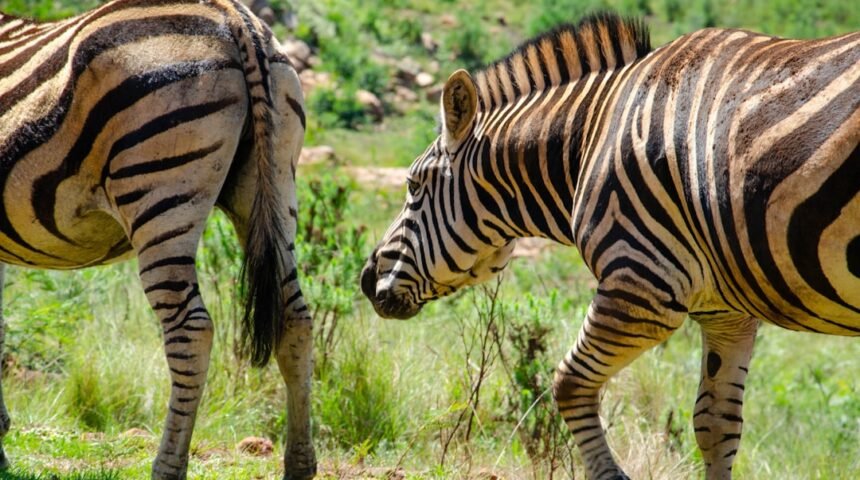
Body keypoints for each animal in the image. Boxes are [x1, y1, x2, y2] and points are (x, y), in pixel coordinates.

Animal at [0, 1, 315, 478]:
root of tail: (233, 18)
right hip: (276, 184)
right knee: (295, 318)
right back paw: (299, 463)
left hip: (159, 196)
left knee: (190, 331)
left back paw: (167, 465)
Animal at [361, 12, 859, 479]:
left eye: (413, 185)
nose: (366, 280)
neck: (591, 139)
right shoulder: (726, 312)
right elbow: (715, 423)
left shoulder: (640, 285)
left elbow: (567, 383)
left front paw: (609, 472)